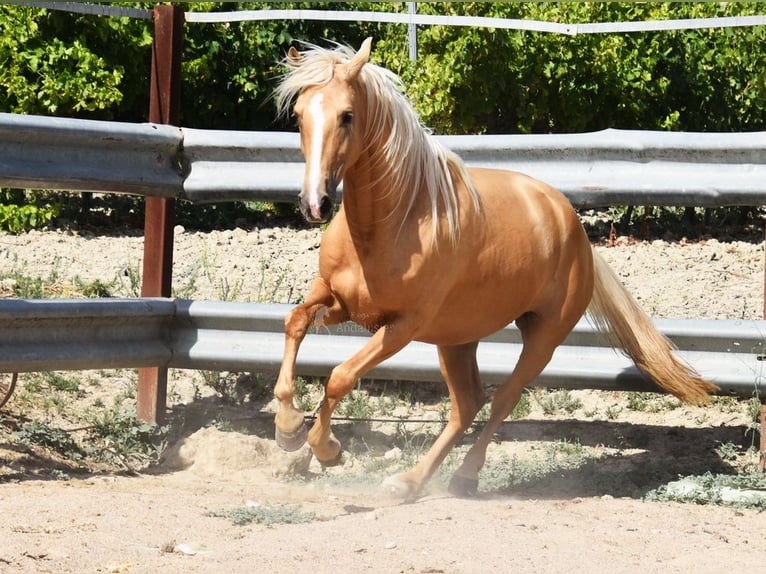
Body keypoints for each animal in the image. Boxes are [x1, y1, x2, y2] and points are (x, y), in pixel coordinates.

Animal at [272, 39, 720, 500]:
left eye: (347, 115)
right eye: (299, 115)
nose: (315, 204)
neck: (391, 225)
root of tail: (575, 232)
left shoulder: (402, 326)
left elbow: (340, 376)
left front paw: (326, 448)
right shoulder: (337, 299)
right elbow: (294, 323)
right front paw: (288, 429)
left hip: (542, 336)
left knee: (502, 399)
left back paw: (462, 477)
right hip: (456, 339)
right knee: (468, 404)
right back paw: (408, 481)